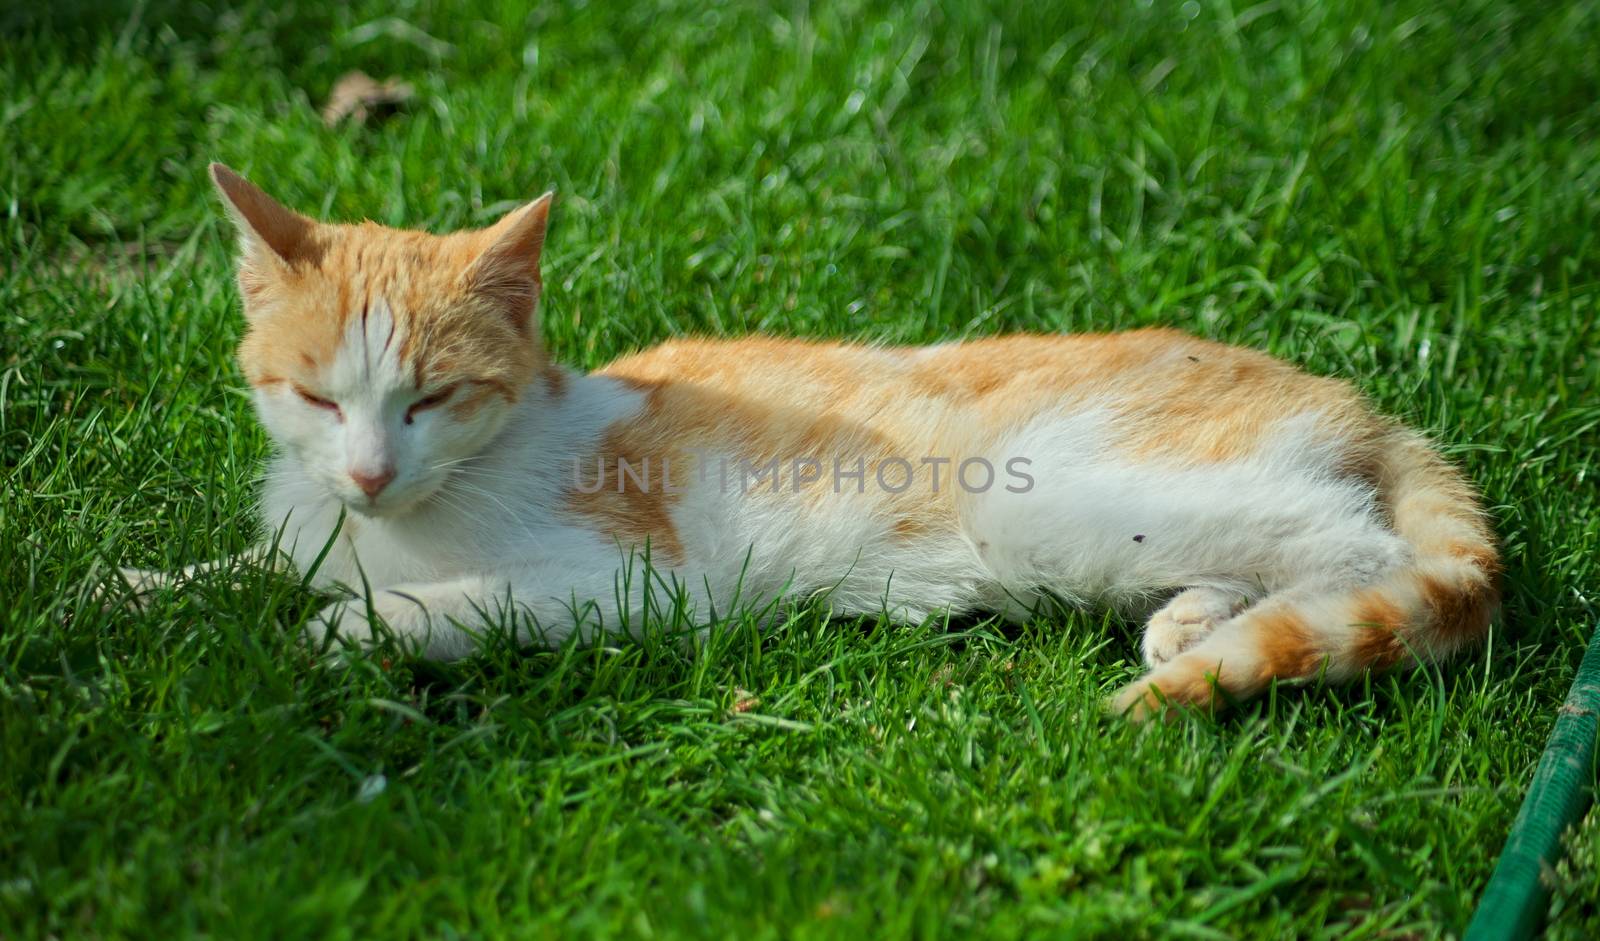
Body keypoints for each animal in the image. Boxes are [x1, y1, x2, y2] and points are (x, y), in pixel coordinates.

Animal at [116, 163, 1497, 720]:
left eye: (432, 398)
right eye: (315, 396)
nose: (367, 470)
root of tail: (1356, 398)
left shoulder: (635, 583)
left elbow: (455, 604)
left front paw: (361, 628)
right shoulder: (310, 528)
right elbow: (233, 570)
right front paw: (122, 589)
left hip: (1057, 500)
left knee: (1353, 543)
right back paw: (1192, 621)